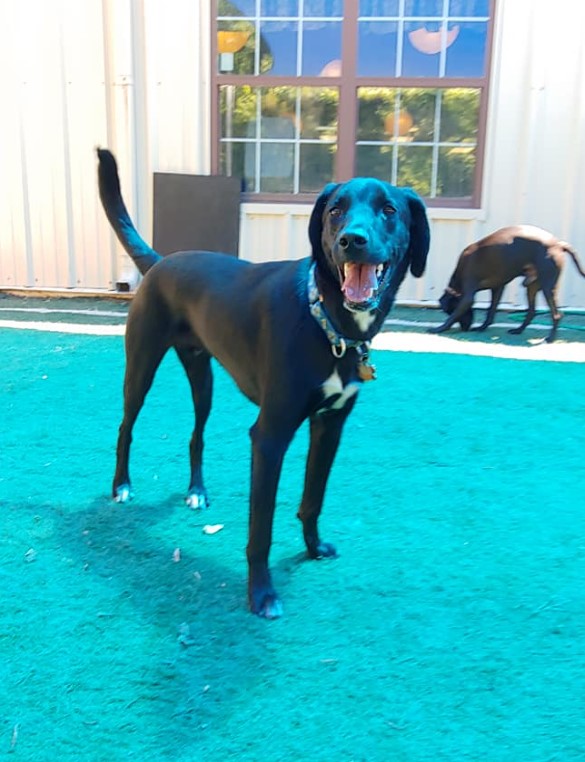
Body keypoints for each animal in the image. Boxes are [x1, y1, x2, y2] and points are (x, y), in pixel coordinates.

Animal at [96, 145, 428, 616]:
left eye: (389, 210)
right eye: (335, 210)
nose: (352, 240)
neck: (328, 323)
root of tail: (161, 263)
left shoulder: (330, 427)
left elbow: (312, 499)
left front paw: (313, 548)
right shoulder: (270, 436)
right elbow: (261, 528)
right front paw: (262, 593)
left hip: (203, 378)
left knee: (196, 434)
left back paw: (197, 492)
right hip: (141, 366)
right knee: (126, 426)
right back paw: (121, 486)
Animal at [428, 224, 584, 342]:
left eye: (449, 310)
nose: (465, 329)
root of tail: (558, 244)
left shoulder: (468, 295)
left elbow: (455, 316)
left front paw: (439, 328)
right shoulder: (497, 288)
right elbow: (491, 310)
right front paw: (482, 327)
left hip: (548, 287)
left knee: (557, 315)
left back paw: (550, 338)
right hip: (531, 287)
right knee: (531, 312)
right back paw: (518, 330)